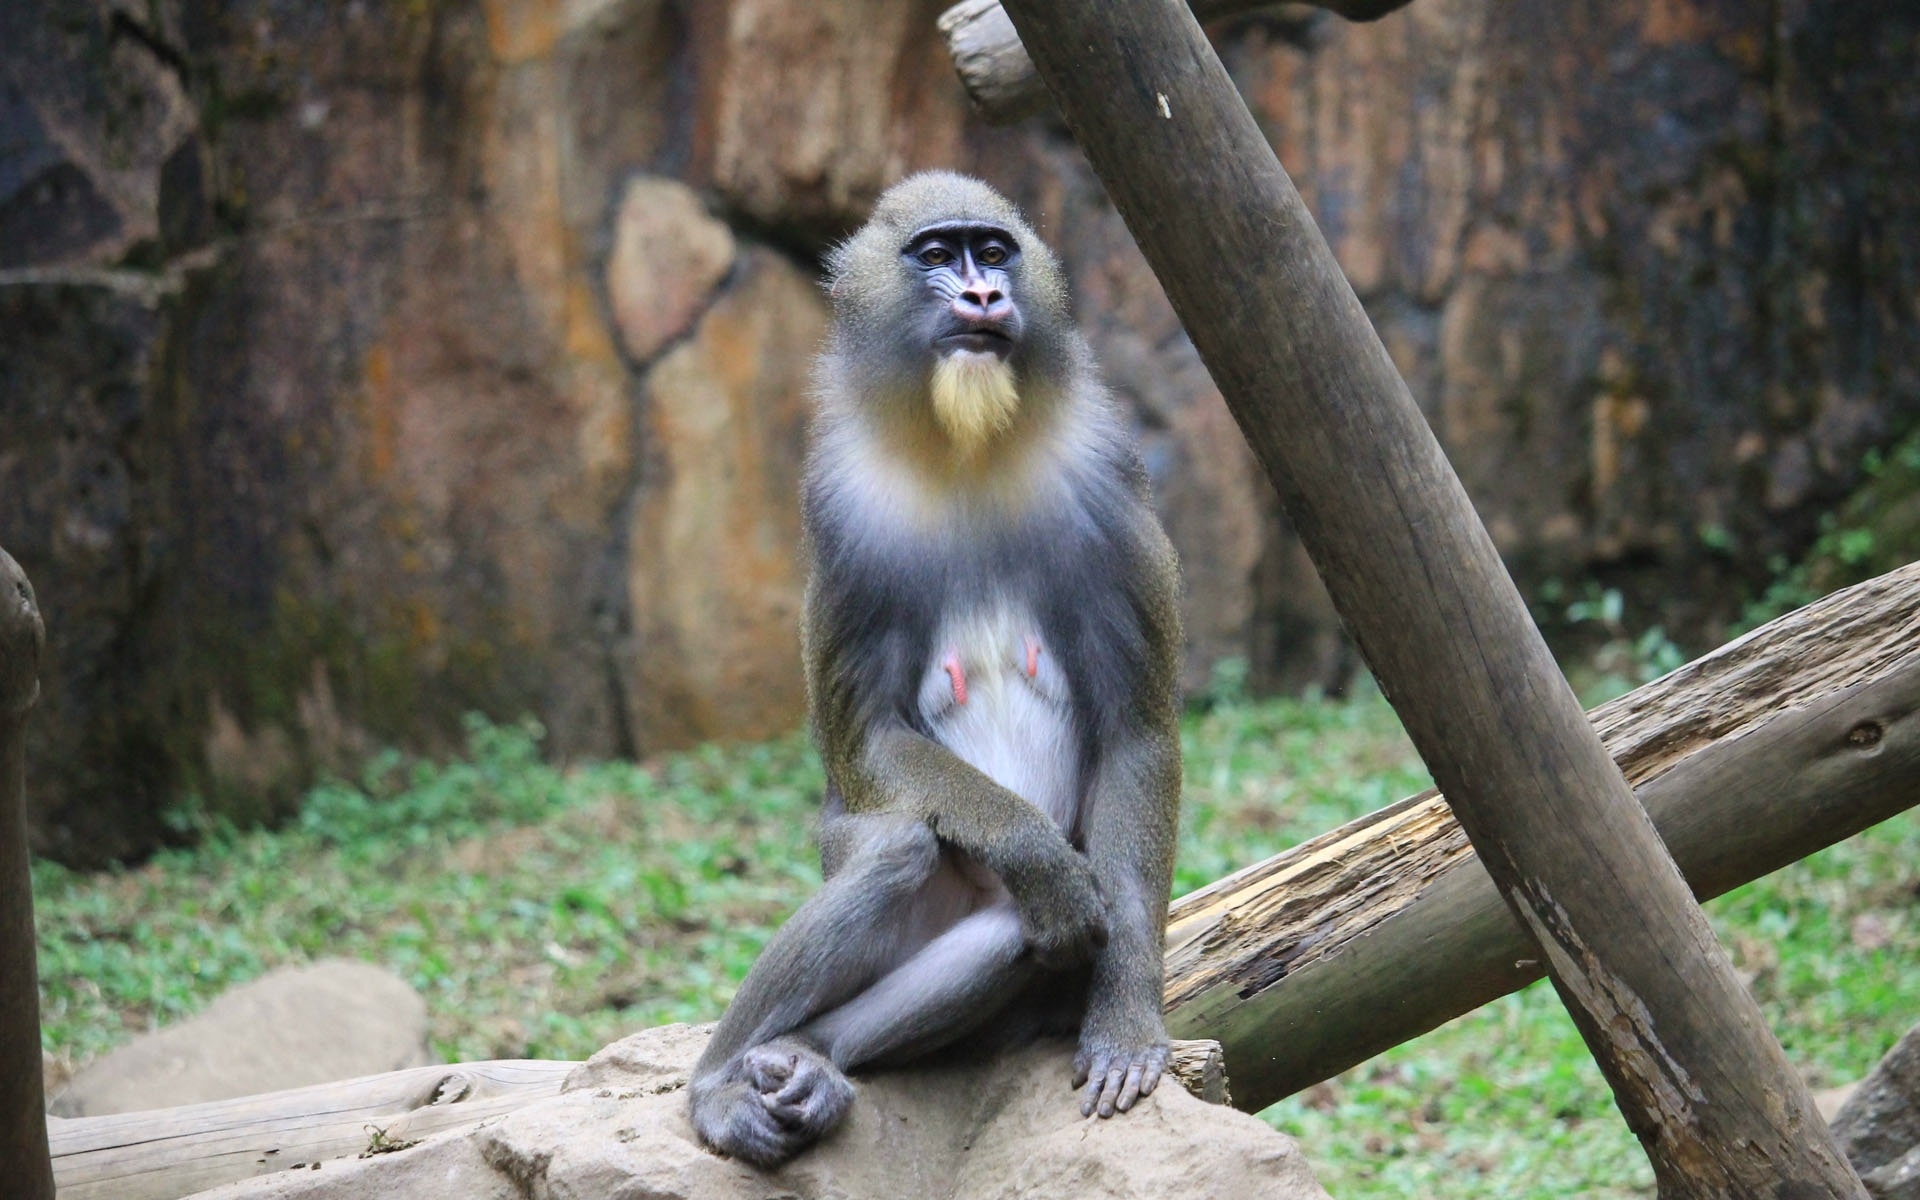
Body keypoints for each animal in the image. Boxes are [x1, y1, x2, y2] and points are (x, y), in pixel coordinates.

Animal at [687, 171, 1184, 1168]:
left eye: (992, 252)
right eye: (935, 255)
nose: (983, 296)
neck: (969, 451)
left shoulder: (1111, 490)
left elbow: (1136, 733)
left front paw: (1124, 1028)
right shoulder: (840, 518)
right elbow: (868, 739)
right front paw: (1037, 852)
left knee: (1015, 927)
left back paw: (811, 1057)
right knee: (903, 849)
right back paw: (721, 1086)